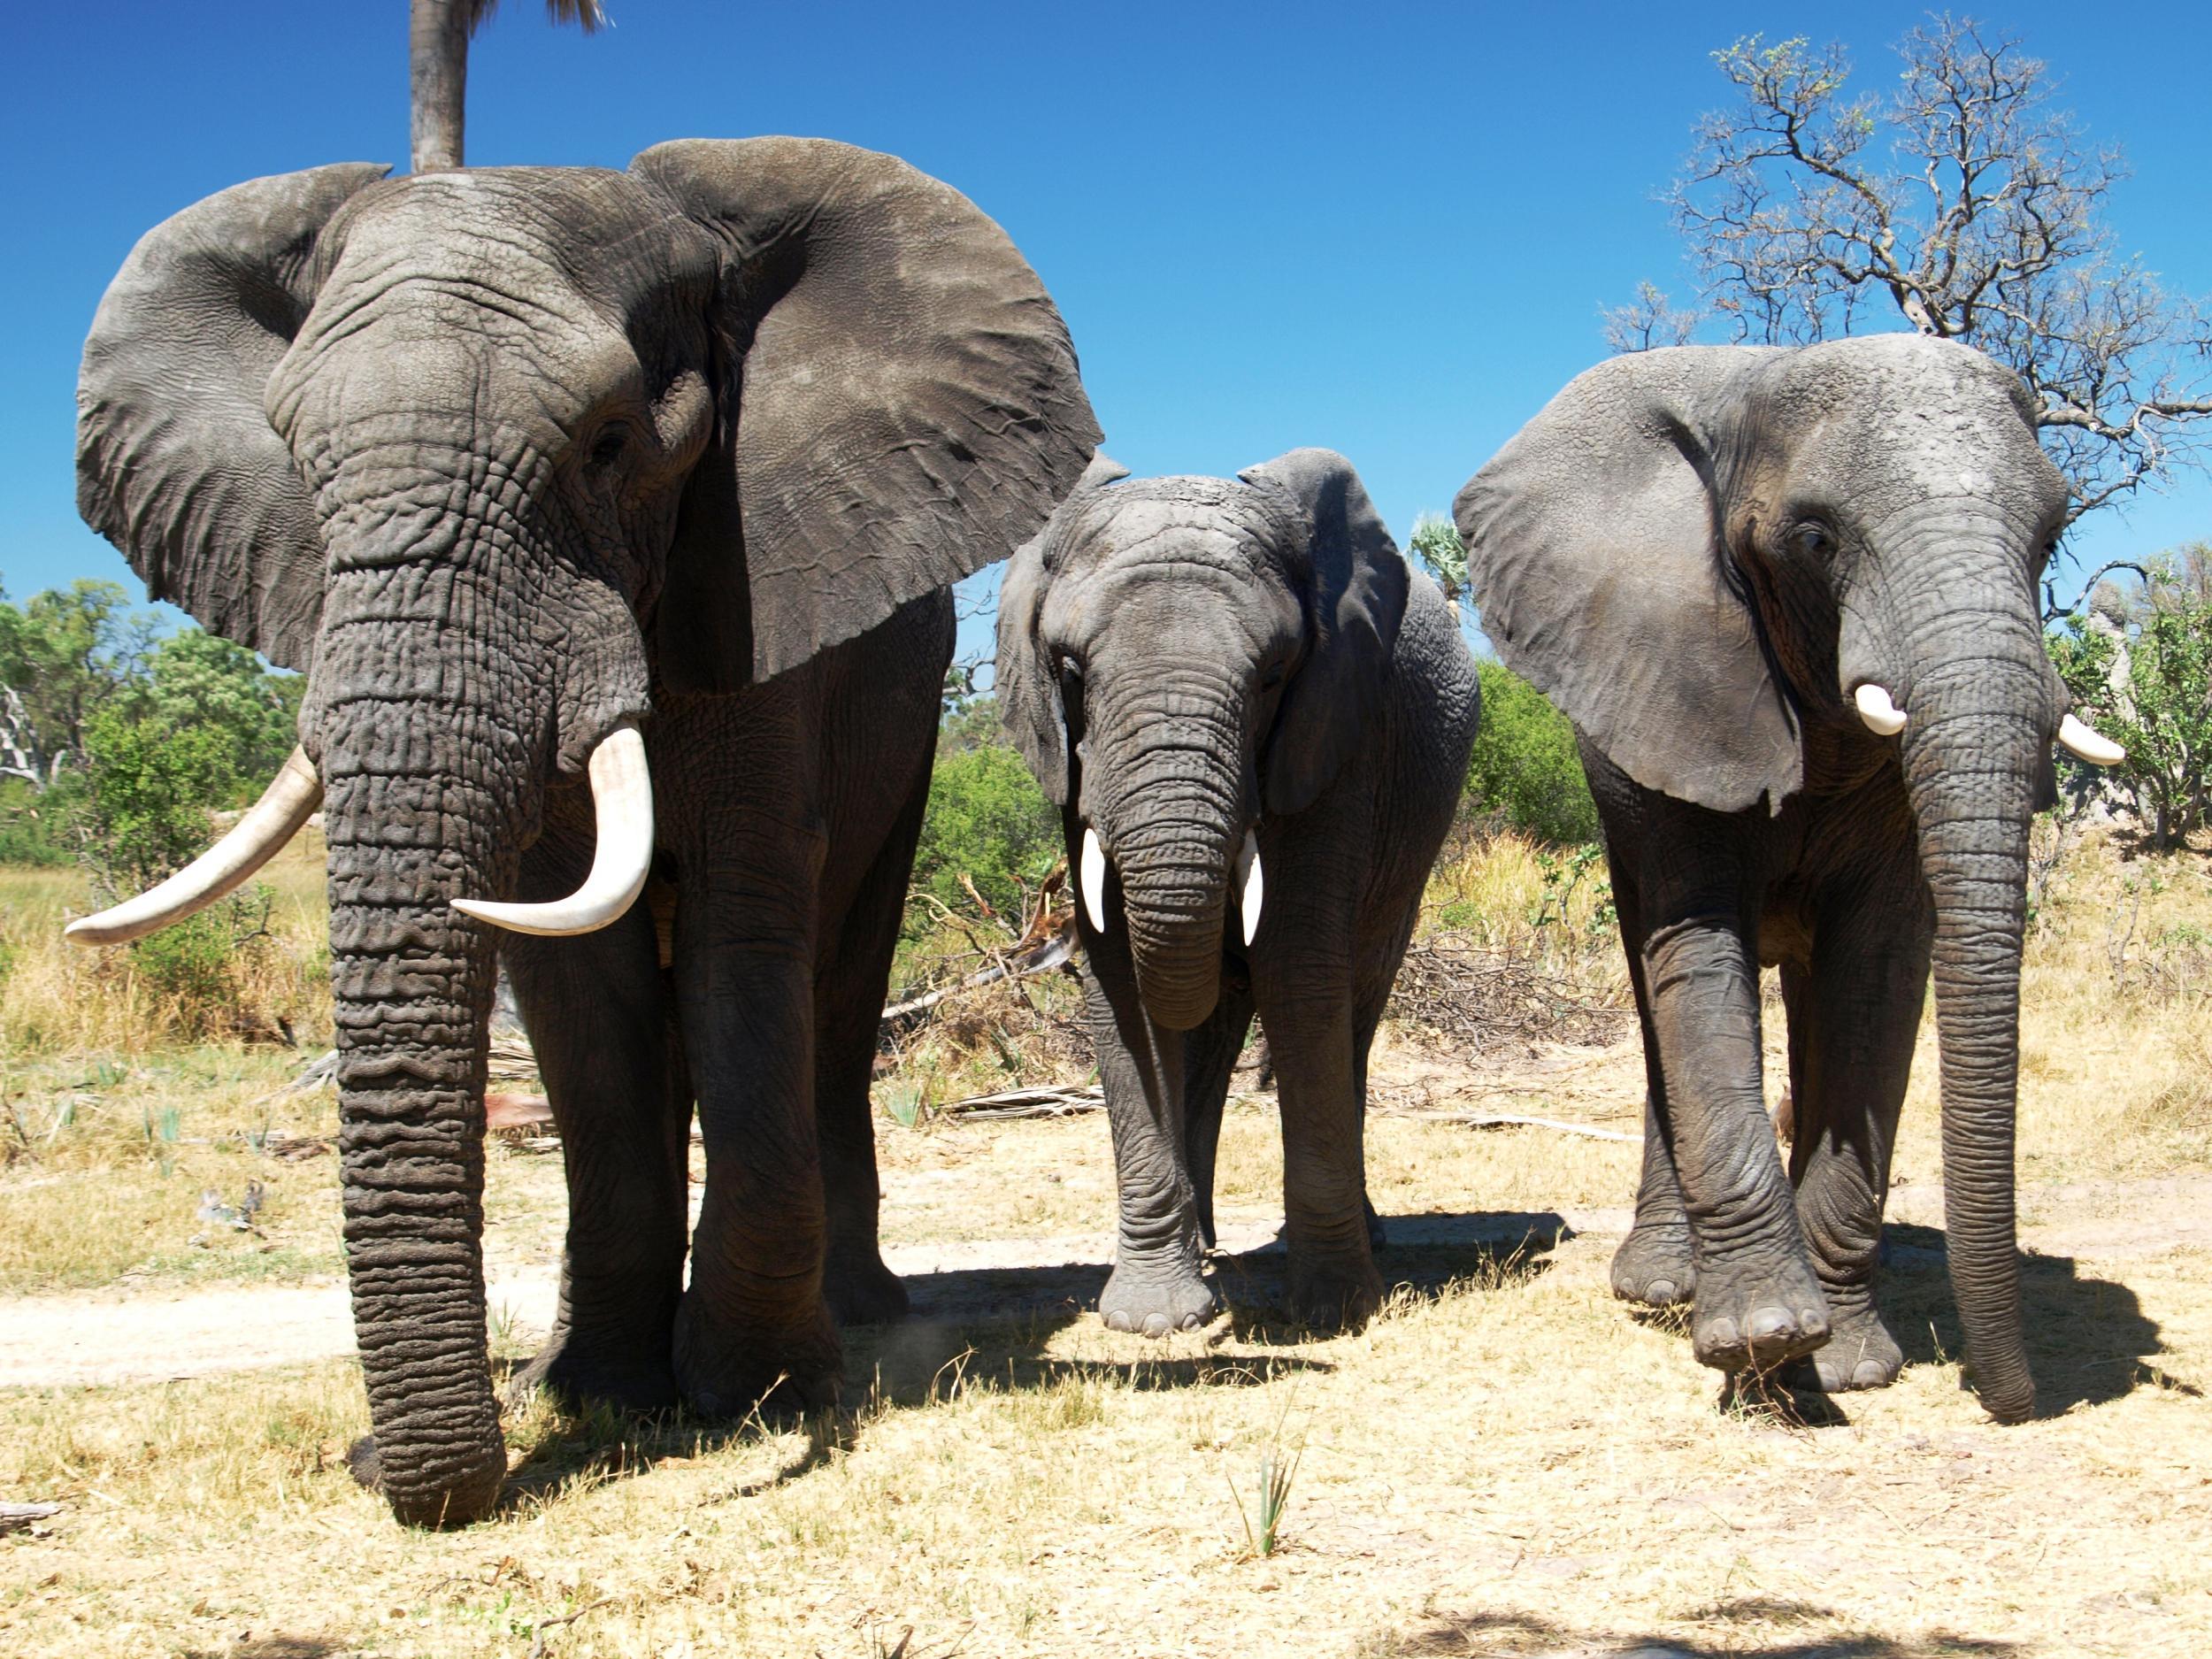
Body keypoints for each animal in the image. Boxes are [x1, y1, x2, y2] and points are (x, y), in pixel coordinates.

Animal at [65, 136, 1102, 1531]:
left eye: (611, 444)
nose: (369, 1461)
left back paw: (859, 1312)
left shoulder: (759, 588)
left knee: (833, 990)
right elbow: (577, 979)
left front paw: (756, 1389)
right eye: (294, 454)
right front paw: (603, 1392)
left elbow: (741, 928)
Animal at [1004, 449, 1486, 1336]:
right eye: (1070, 671)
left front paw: (1334, 1310)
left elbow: (1298, 964)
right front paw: (1155, 1320)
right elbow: (1120, 979)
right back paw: (1206, 1246)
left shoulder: (1336, 732)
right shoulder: (1071, 764)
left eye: (1273, 675)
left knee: (1354, 1000)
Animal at [1451, 338, 2124, 1433]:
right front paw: (1763, 1342)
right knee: (1658, 997)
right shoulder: (1671, 685)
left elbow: (1877, 978)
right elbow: (1695, 955)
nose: (2014, 1402)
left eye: (2054, 531)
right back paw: (1662, 1286)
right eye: (1815, 538)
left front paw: (1844, 1364)